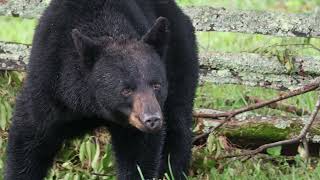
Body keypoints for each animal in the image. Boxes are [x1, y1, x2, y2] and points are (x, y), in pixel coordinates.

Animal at [5, 0, 199, 179]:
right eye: (126, 90)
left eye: (156, 85)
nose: (152, 120)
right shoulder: (49, 84)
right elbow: (28, 139)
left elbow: (140, 153)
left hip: (181, 57)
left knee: (178, 125)